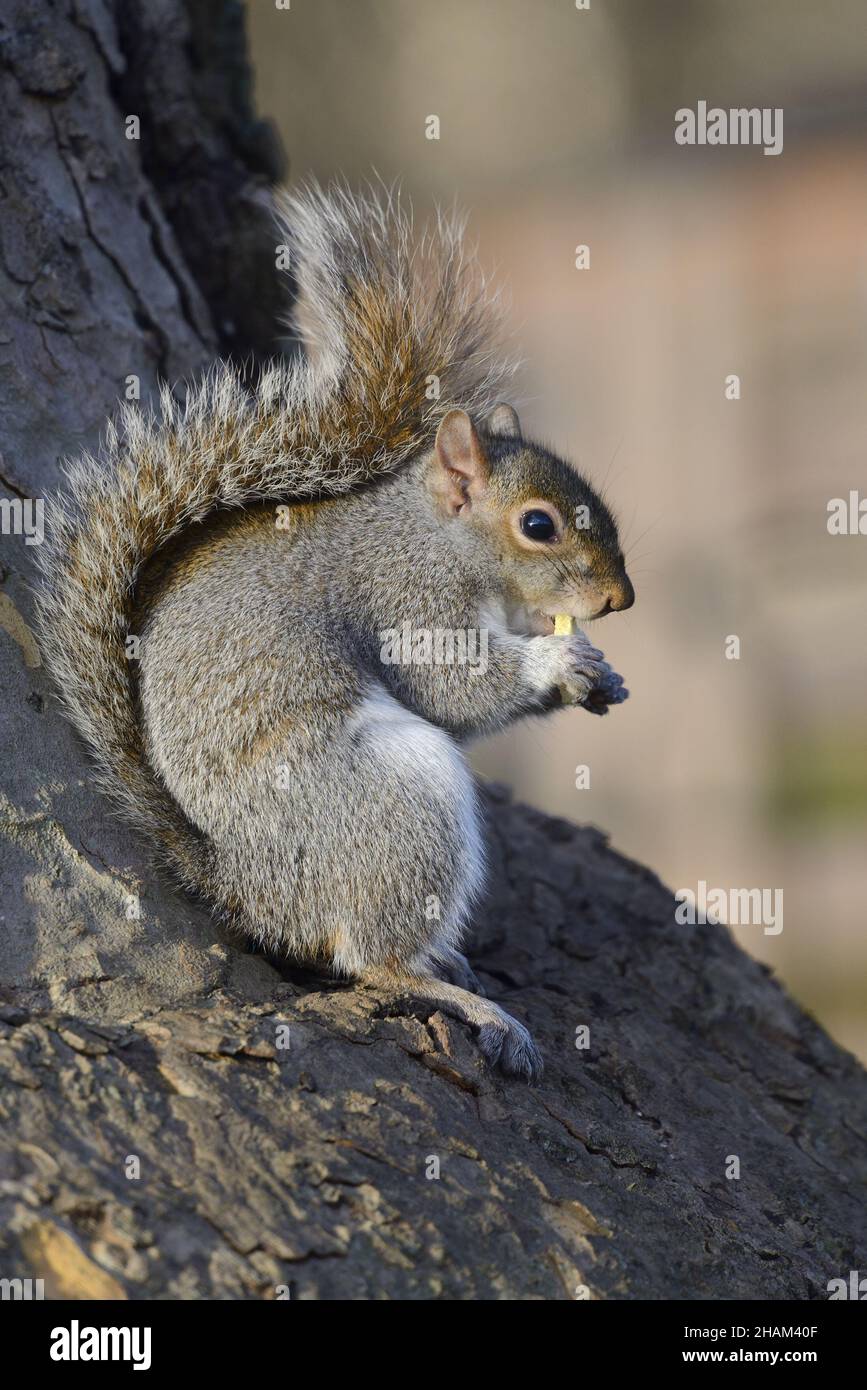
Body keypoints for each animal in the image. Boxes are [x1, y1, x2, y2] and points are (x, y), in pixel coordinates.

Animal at [33, 179, 633, 1078]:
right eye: (538, 525)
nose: (621, 599)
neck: (433, 536)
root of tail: (248, 890)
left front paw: (601, 669)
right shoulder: (406, 601)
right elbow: (454, 690)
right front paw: (556, 663)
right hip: (396, 799)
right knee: (367, 958)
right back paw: (466, 998)